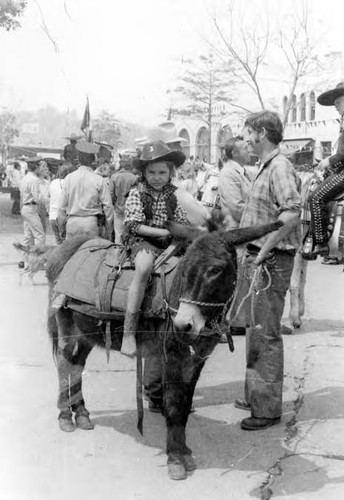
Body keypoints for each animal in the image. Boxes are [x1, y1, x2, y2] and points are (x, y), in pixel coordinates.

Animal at [46, 219, 282, 480]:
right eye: (185, 267)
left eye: (216, 270)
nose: (183, 325)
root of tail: (71, 246)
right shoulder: (171, 357)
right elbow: (174, 405)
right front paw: (176, 460)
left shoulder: (197, 359)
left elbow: (185, 404)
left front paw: (185, 452)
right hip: (67, 325)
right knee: (65, 365)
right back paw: (65, 416)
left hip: (86, 332)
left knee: (76, 365)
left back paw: (81, 414)